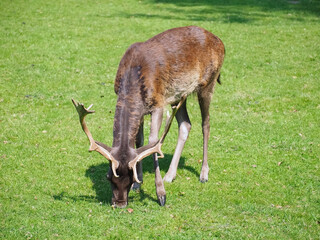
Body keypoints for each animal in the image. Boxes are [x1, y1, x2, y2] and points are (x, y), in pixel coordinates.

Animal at [72, 25, 225, 207]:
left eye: (130, 178)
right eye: (109, 177)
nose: (120, 203)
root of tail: (220, 41)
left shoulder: (158, 104)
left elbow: (154, 141)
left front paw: (160, 194)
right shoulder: (142, 110)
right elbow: (139, 141)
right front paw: (139, 185)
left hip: (208, 83)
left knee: (205, 124)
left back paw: (203, 174)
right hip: (179, 96)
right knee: (185, 124)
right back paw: (170, 175)